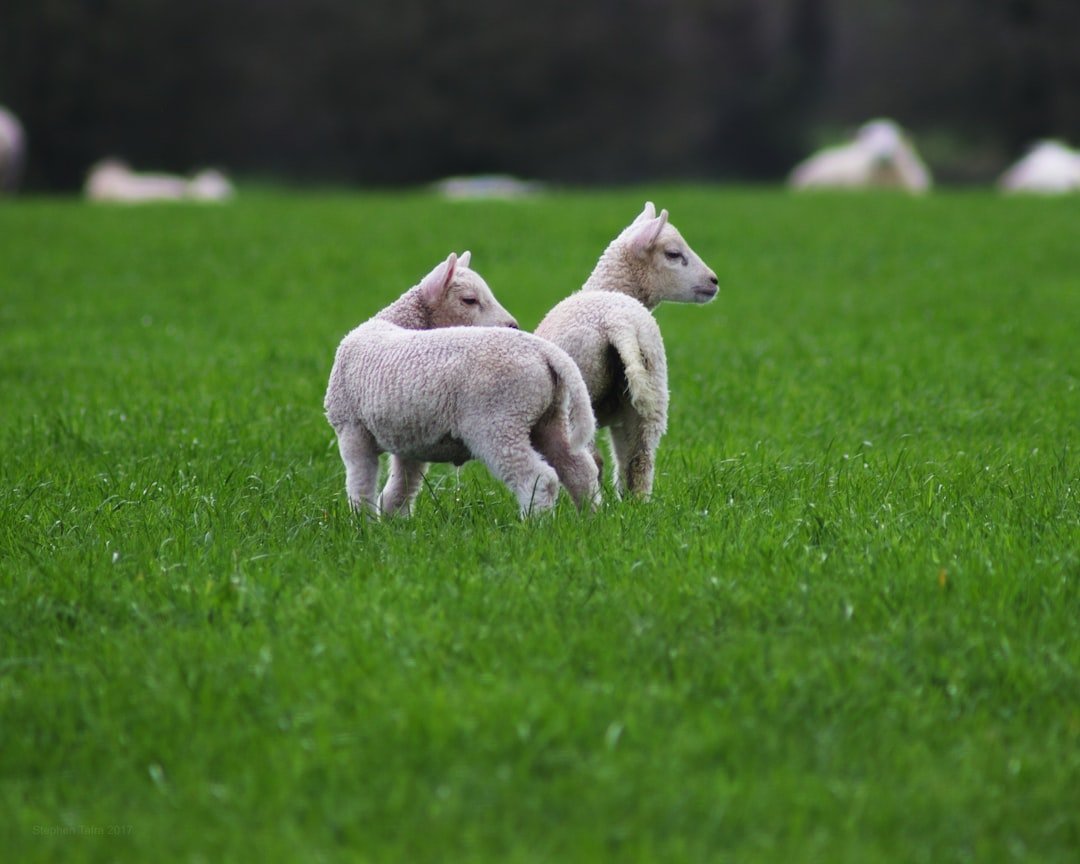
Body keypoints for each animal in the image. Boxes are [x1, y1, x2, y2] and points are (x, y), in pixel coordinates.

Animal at [325, 252, 599, 518]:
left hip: (498, 421)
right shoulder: (409, 436)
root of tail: (542, 349)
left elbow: (361, 486)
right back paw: (590, 519)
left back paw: (536, 525)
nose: (513, 325)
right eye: (469, 300)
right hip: (549, 419)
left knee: (538, 479)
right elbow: (400, 487)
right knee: (580, 470)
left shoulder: (352, 429)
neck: (395, 321)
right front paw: (393, 524)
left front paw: (364, 524)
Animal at [534, 202, 718, 498]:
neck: (612, 288)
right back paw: (634, 504)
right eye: (673, 254)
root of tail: (615, 321)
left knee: (591, 459)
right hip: (650, 389)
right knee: (638, 460)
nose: (714, 281)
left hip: (580, 393)